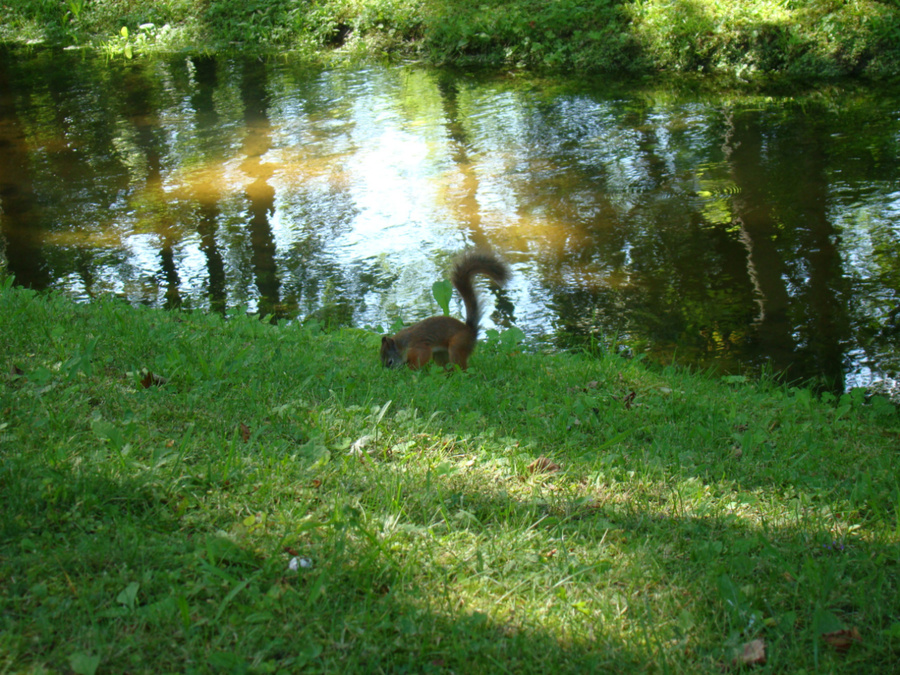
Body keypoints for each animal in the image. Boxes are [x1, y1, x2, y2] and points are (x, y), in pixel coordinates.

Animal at [378, 251, 506, 372]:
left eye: (390, 362)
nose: (389, 372)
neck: (404, 344)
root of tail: (471, 332)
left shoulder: (419, 347)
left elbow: (422, 357)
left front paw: (410, 370)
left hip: (457, 345)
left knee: (461, 366)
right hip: (441, 355)